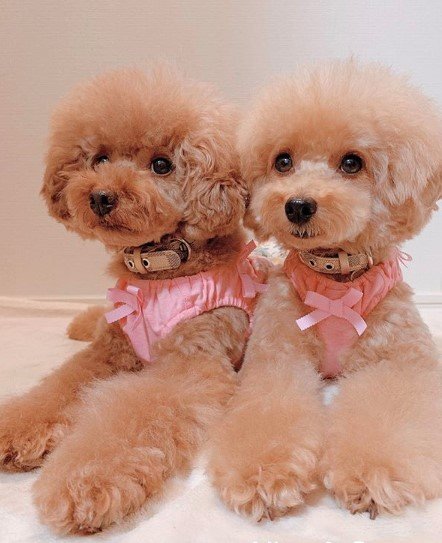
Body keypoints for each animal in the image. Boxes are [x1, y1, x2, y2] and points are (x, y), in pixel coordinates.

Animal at [0, 70, 266, 532]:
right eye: (99, 159)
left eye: (162, 164)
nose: (101, 196)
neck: (157, 270)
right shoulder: (110, 349)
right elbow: (58, 386)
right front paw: (16, 428)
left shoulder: (188, 364)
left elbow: (132, 415)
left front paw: (82, 482)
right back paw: (78, 322)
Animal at [208, 60, 442, 524]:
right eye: (282, 161)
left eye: (352, 162)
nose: (298, 205)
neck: (335, 282)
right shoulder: (277, 354)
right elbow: (271, 405)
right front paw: (265, 476)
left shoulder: (399, 361)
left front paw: (372, 476)